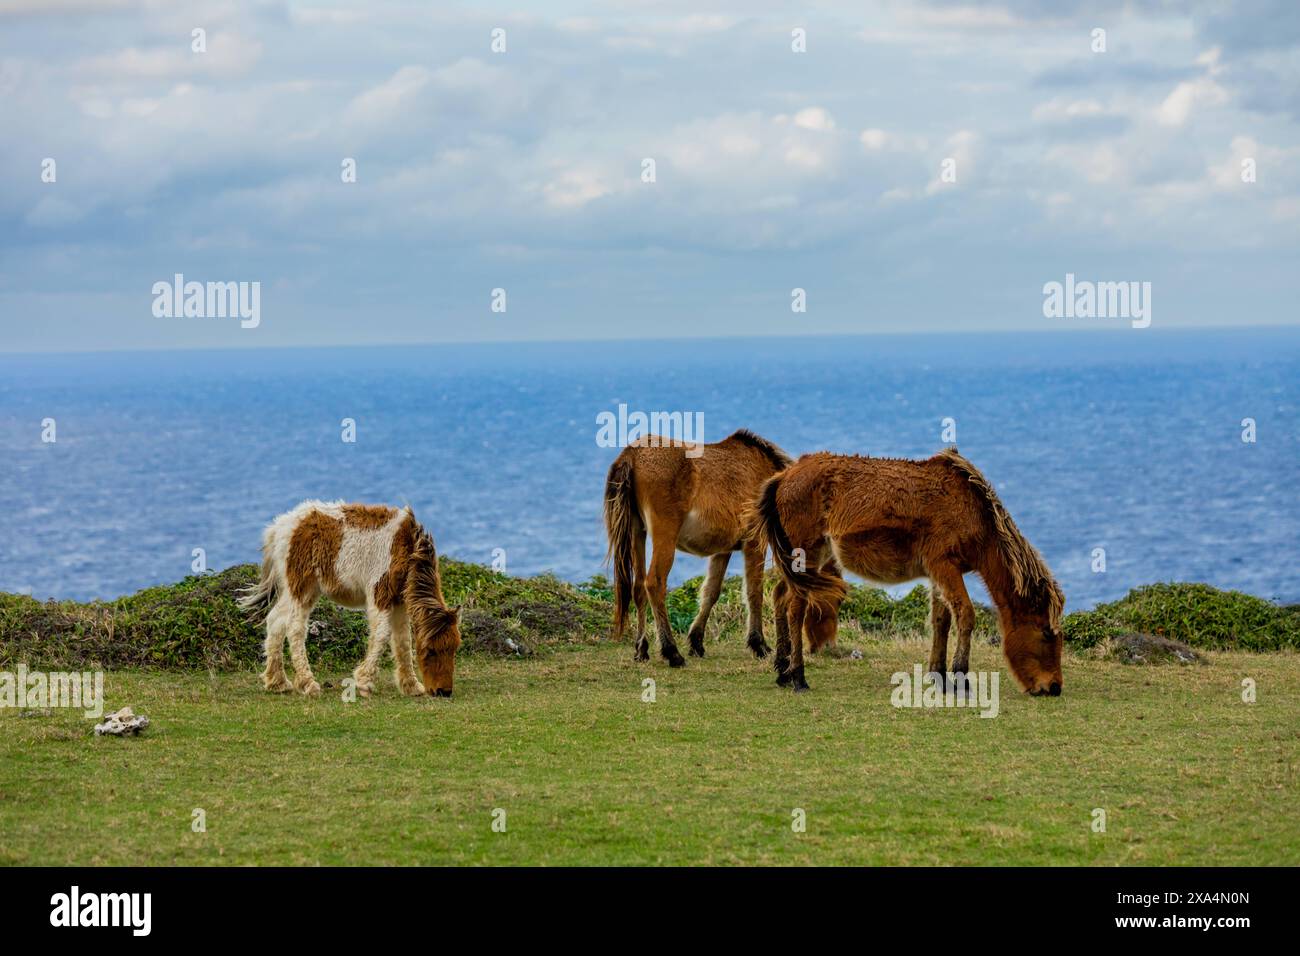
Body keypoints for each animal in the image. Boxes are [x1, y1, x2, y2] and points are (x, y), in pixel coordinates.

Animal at [239, 504, 462, 697]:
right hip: (301, 589)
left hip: (297, 590)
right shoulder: (379, 594)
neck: (406, 547)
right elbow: (381, 635)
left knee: (275, 622)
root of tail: (279, 528)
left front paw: (411, 686)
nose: (443, 691)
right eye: (431, 650)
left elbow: (402, 641)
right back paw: (308, 683)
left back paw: (277, 682)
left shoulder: (398, 601)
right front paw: (363, 682)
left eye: (453, 648)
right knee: (294, 629)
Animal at [603, 431, 795, 665]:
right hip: (664, 536)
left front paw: (696, 642)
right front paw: (759, 644)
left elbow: (711, 592)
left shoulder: (723, 550)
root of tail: (632, 455)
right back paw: (671, 651)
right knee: (654, 584)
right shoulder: (755, 542)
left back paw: (642, 650)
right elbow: (754, 591)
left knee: (639, 587)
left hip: (636, 533)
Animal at [754, 447, 1066, 697]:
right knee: (796, 608)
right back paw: (798, 678)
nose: (1053, 687)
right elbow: (965, 615)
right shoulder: (944, 565)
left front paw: (940, 677)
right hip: (805, 556)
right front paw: (961, 679)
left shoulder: (939, 572)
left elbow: (941, 620)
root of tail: (784, 476)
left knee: (780, 597)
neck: (974, 512)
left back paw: (782, 671)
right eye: (1046, 633)